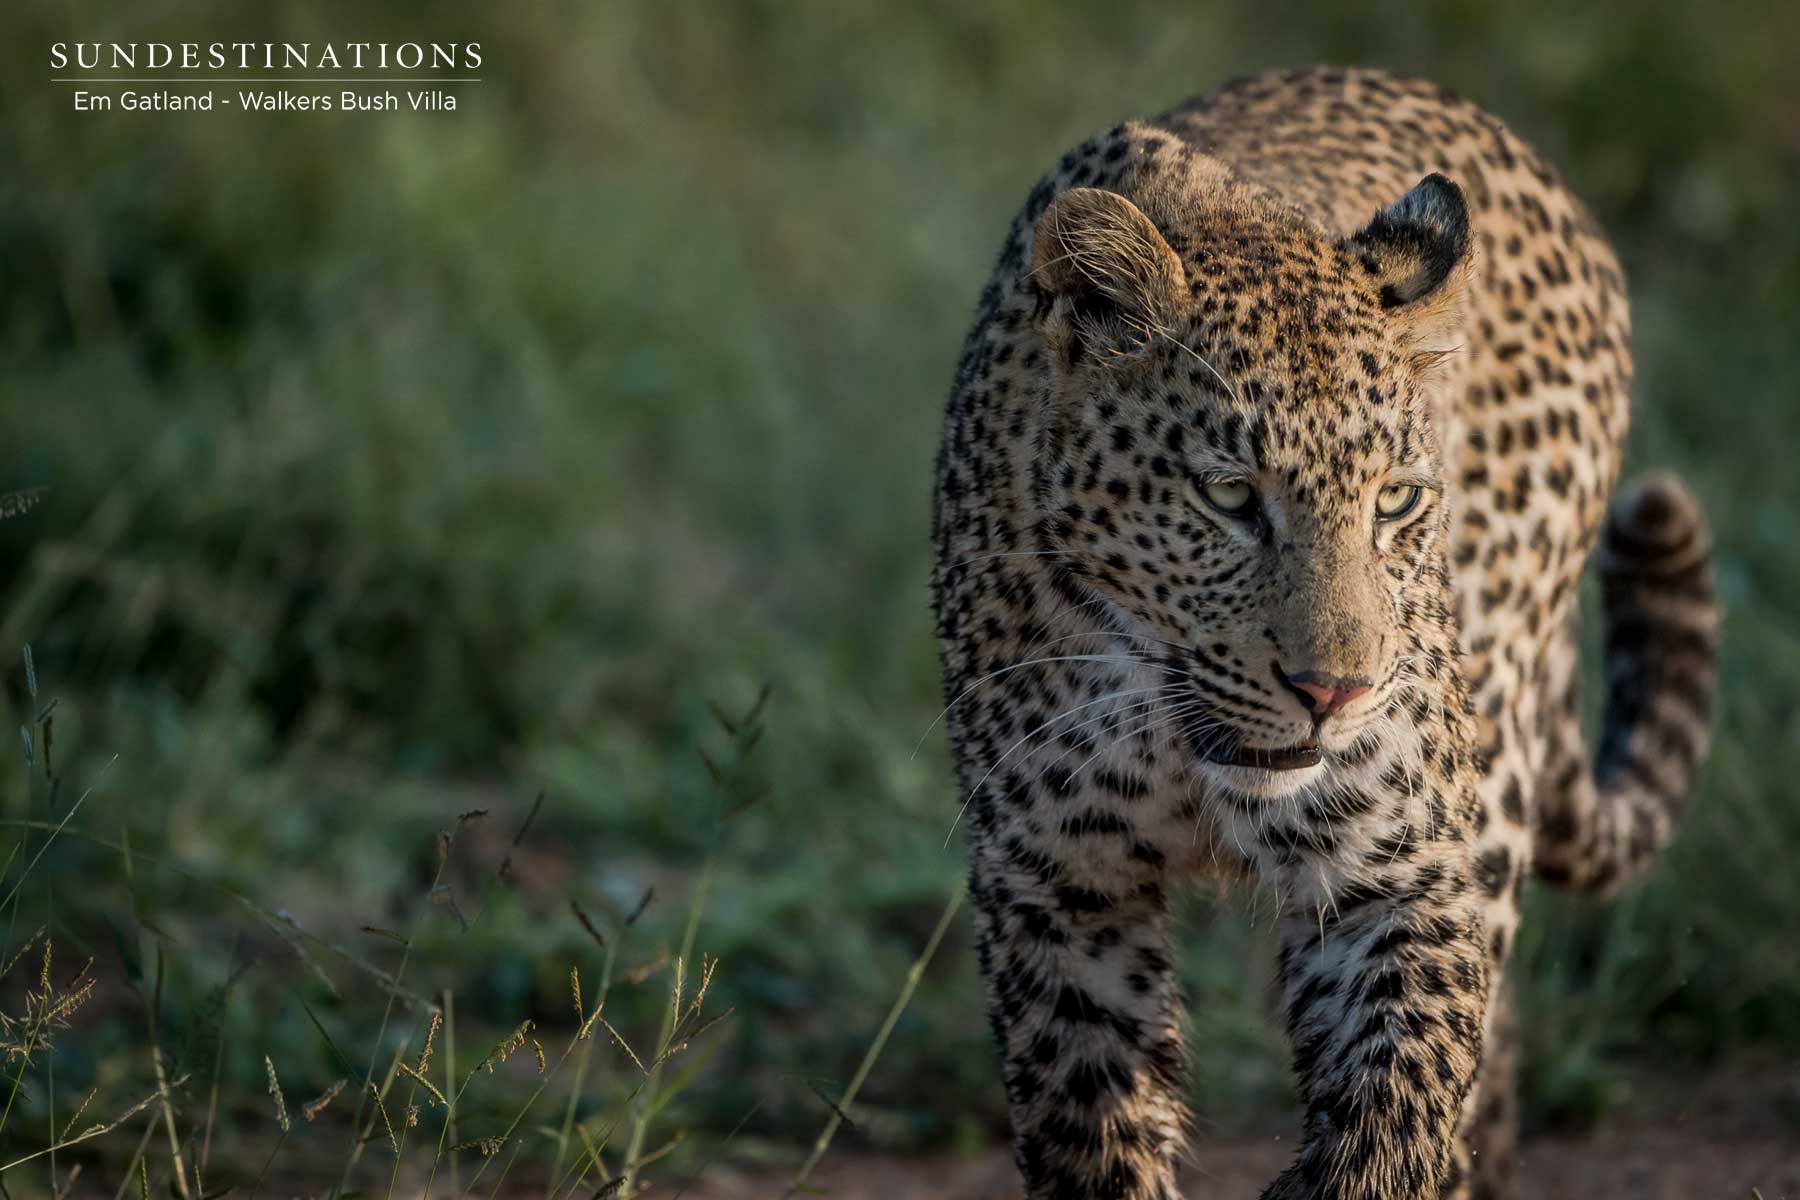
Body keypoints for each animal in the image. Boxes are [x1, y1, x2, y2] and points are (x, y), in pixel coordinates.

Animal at [931, 66, 1719, 1200]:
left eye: (1394, 500)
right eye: (1228, 496)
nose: (1333, 693)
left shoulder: (1401, 872)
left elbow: (1395, 1106)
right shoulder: (1054, 885)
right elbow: (1094, 1131)